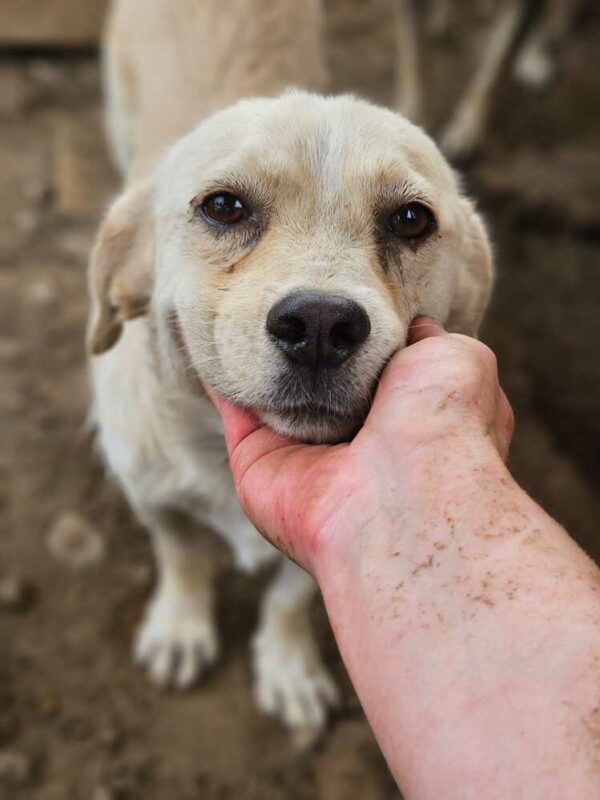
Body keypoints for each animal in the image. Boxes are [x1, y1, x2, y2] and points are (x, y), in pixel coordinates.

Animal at [89, 0, 492, 744]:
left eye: (411, 219)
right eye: (223, 206)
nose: (321, 327)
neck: (214, 458)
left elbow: (287, 595)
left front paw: (287, 669)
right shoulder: (149, 492)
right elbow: (181, 554)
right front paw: (180, 627)